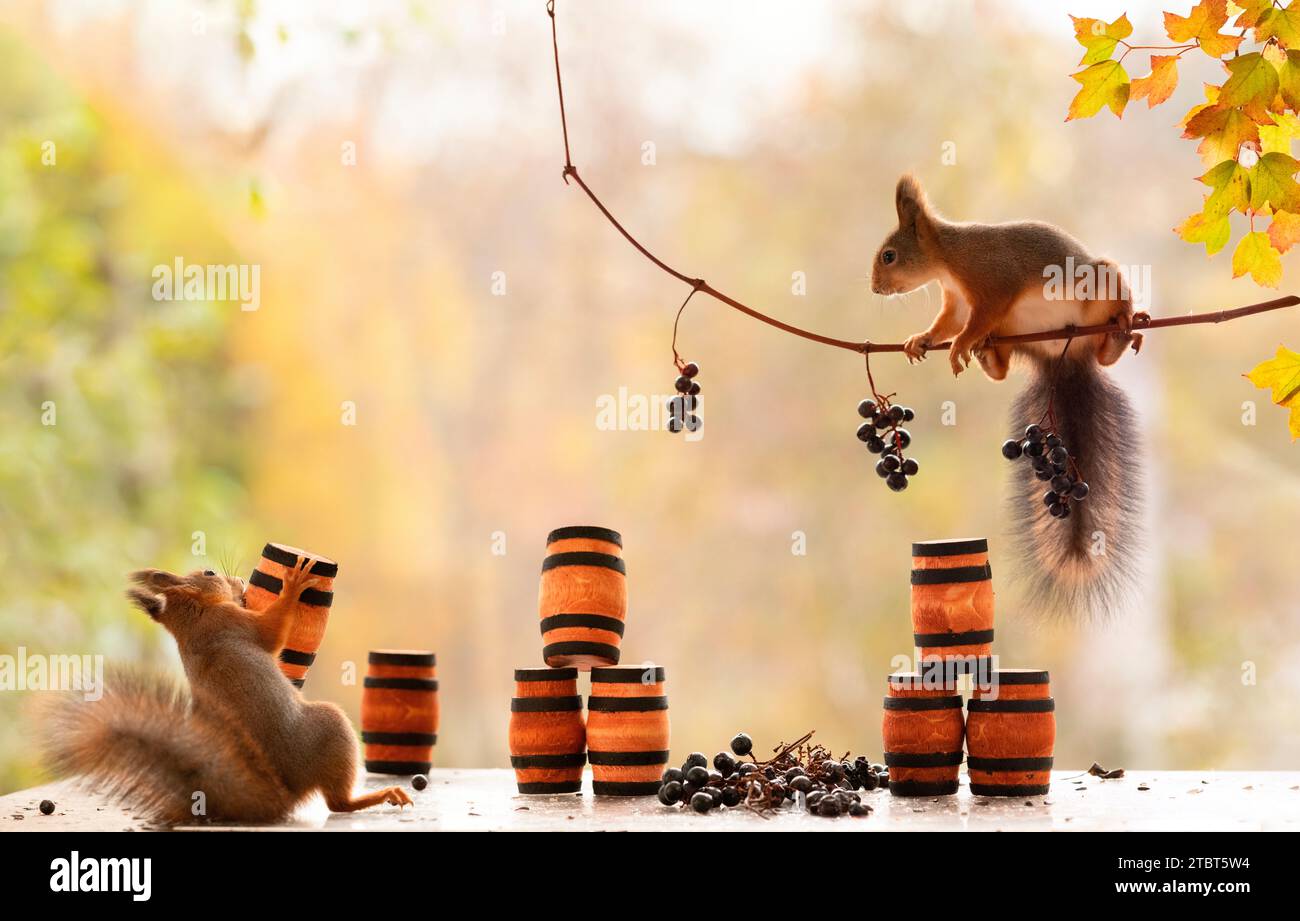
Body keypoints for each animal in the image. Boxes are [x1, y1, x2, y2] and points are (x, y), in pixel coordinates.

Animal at [39, 558, 413, 824]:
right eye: (209, 572)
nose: (241, 582)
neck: (192, 620)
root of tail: (283, 793)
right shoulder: (235, 623)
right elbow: (272, 633)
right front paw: (292, 585)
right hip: (330, 728)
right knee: (338, 803)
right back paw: (380, 796)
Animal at [870, 174, 1144, 614]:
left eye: (890, 255)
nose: (875, 288)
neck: (949, 258)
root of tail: (1063, 357)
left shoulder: (993, 284)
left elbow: (975, 320)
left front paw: (959, 345)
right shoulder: (957, 302)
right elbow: (948, 323)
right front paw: (922, 339)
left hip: (1100, 287)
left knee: (1106, 343)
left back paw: (1122, 328)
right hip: (1013, 332)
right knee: (1000, 365)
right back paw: (989, 357)